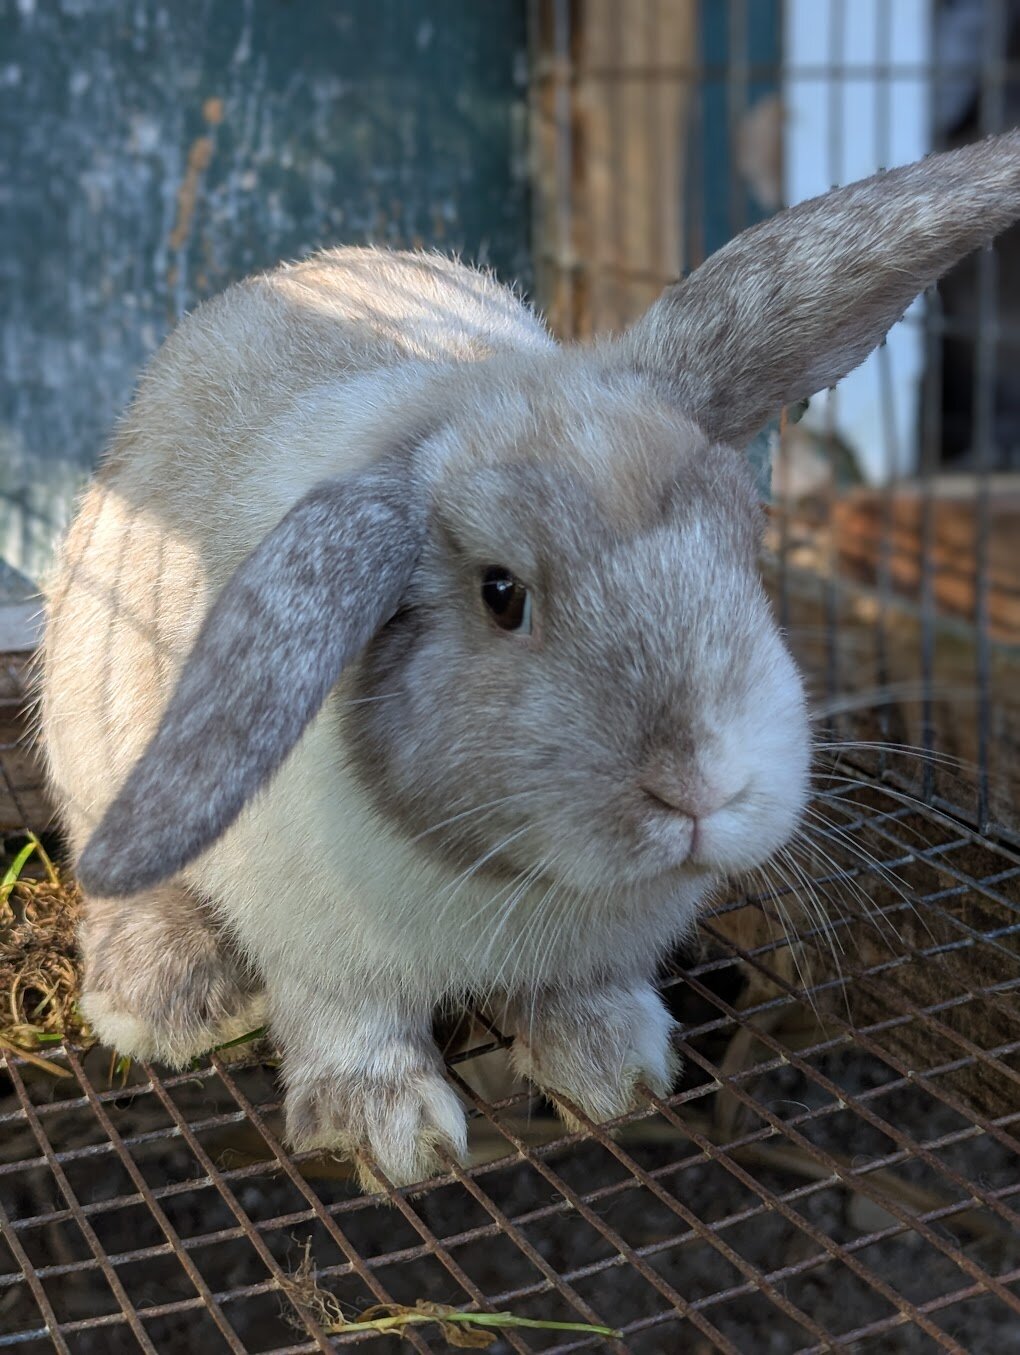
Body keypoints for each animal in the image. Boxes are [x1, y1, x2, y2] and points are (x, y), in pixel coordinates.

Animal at [40, 132, 1020, 1190]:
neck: (519, 879)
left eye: (743, 542)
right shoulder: (322, 954)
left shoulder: (590, 954)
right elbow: (351, 1026)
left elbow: (579, 997)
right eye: (502, 593)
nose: (703, 790)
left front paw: (615, 1071)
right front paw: (391, 1134)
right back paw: (168, 996)